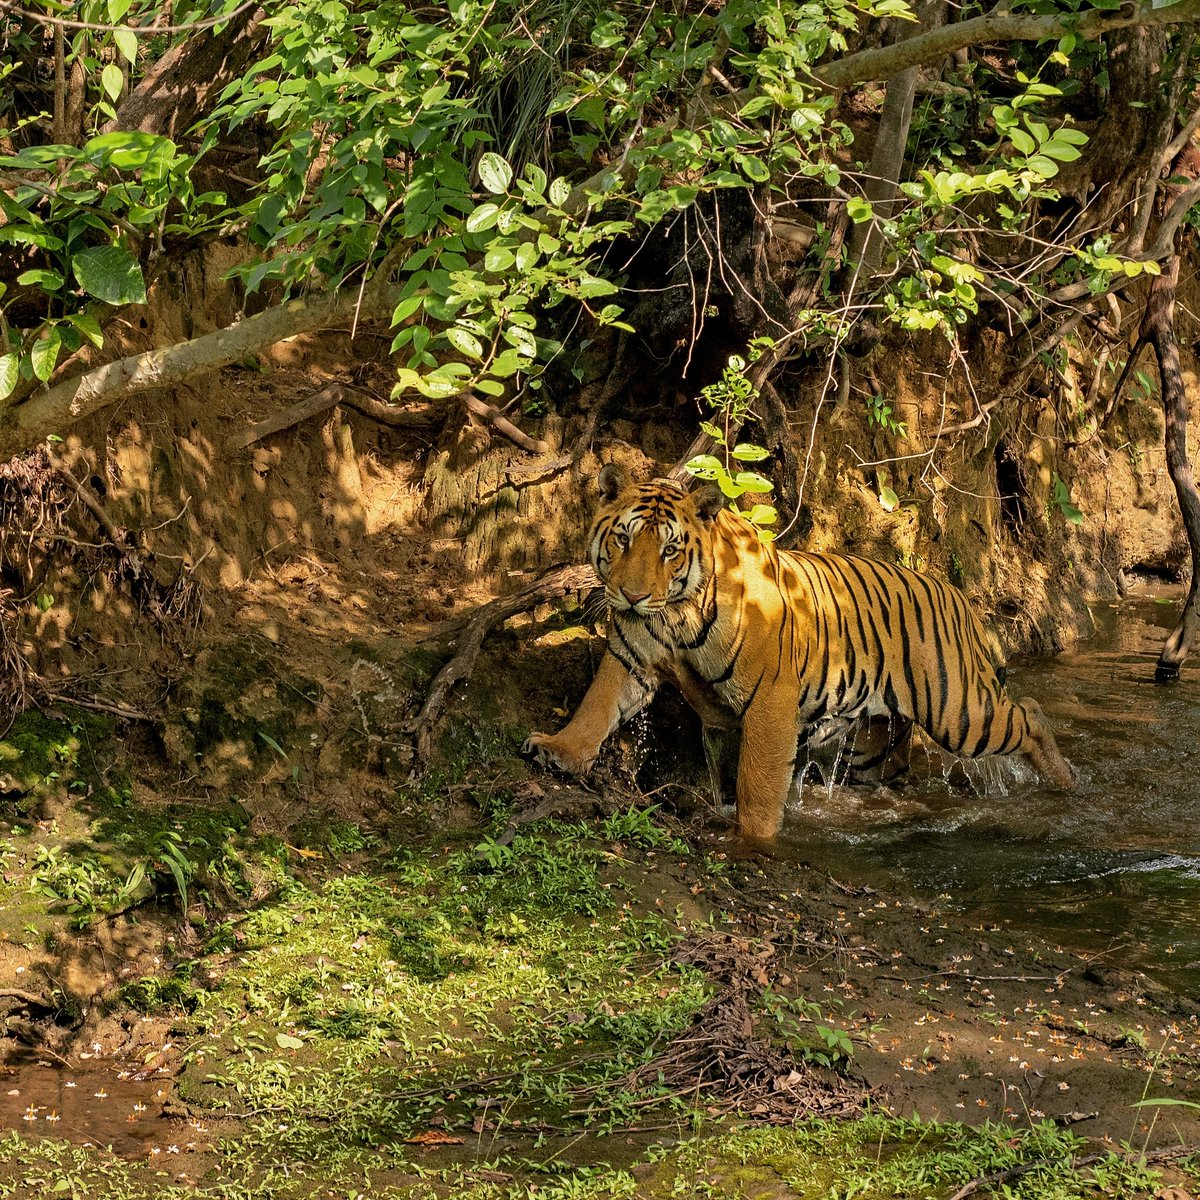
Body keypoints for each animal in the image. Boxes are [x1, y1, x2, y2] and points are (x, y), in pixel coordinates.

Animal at [524, 465, 1073, 839]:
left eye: (670, 550)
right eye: (623, 539)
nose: (633, 595)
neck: (675, 615)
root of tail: (955, 592)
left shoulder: (771, 697)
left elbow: (758, 782)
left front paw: (753, 837)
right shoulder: (630, 658)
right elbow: (596, 707)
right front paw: (560, 750)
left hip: (958, 711)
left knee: (1030, 713)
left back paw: (1065, 783)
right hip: (870, 745)